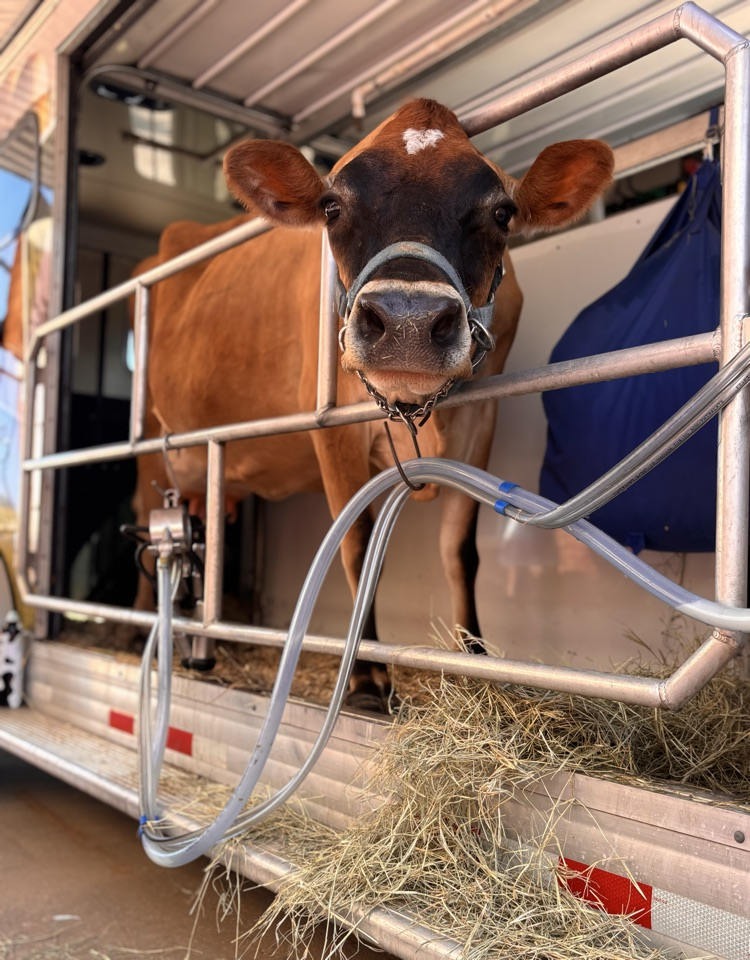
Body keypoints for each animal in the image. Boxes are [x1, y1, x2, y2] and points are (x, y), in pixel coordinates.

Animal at [133, 98, 613, 707]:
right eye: (332, 207)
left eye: (503, 213)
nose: (408, 321)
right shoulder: (335, 427)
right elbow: (357, 544)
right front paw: (364, 676)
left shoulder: (482, 416)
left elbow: (461, 549)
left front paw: (473, 662)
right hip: (151, 446)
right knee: (149, 527)